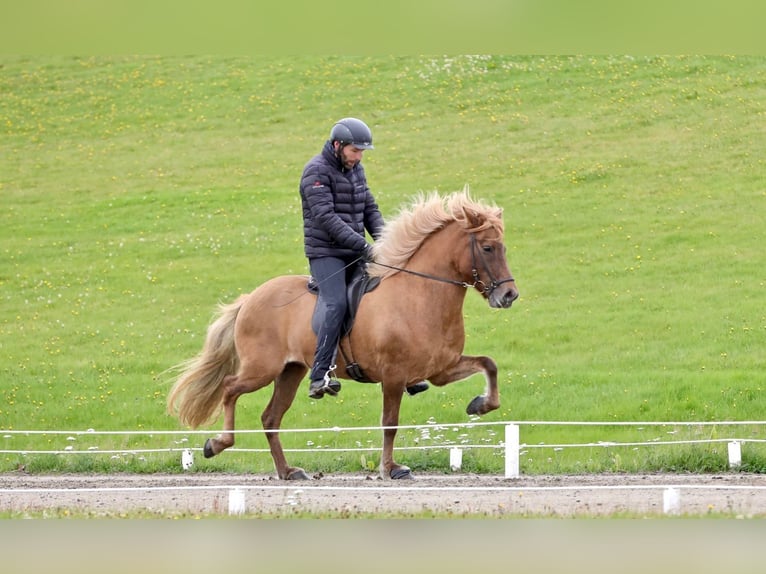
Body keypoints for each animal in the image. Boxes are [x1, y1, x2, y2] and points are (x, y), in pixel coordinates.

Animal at [165, 190, 520, 482]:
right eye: (488, 248)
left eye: (503, 247)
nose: (509, 296)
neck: (420, 296)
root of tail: (251, 298)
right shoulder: (393, 376)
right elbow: (390, 422)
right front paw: (391, 469)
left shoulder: (441, 370)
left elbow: (489, 364)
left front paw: (480, 405)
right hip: (261, 369)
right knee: (229, 389)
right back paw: (218, 443)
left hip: (291, 371)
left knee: (270, 417)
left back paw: (287, 471)